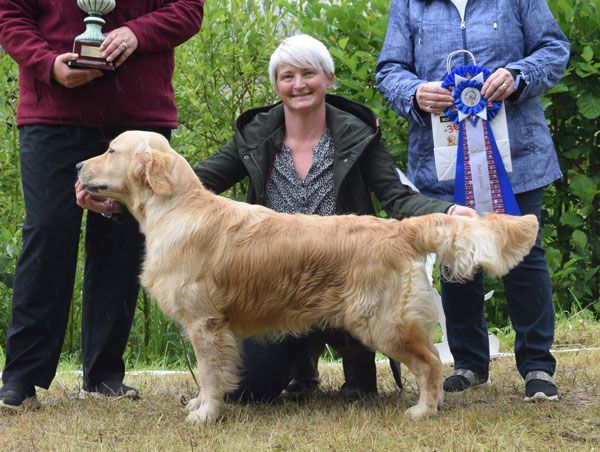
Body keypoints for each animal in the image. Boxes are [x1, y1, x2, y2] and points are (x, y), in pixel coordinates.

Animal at [76, 130, 540, 424]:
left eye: (111, 150)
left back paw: (424, 410)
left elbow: (210, 374)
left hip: (382, 322)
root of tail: (399, 228)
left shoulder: (206, 324)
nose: (79, 165)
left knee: (429, 363)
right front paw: (199, 406)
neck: (176, 209)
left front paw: (206, 413)